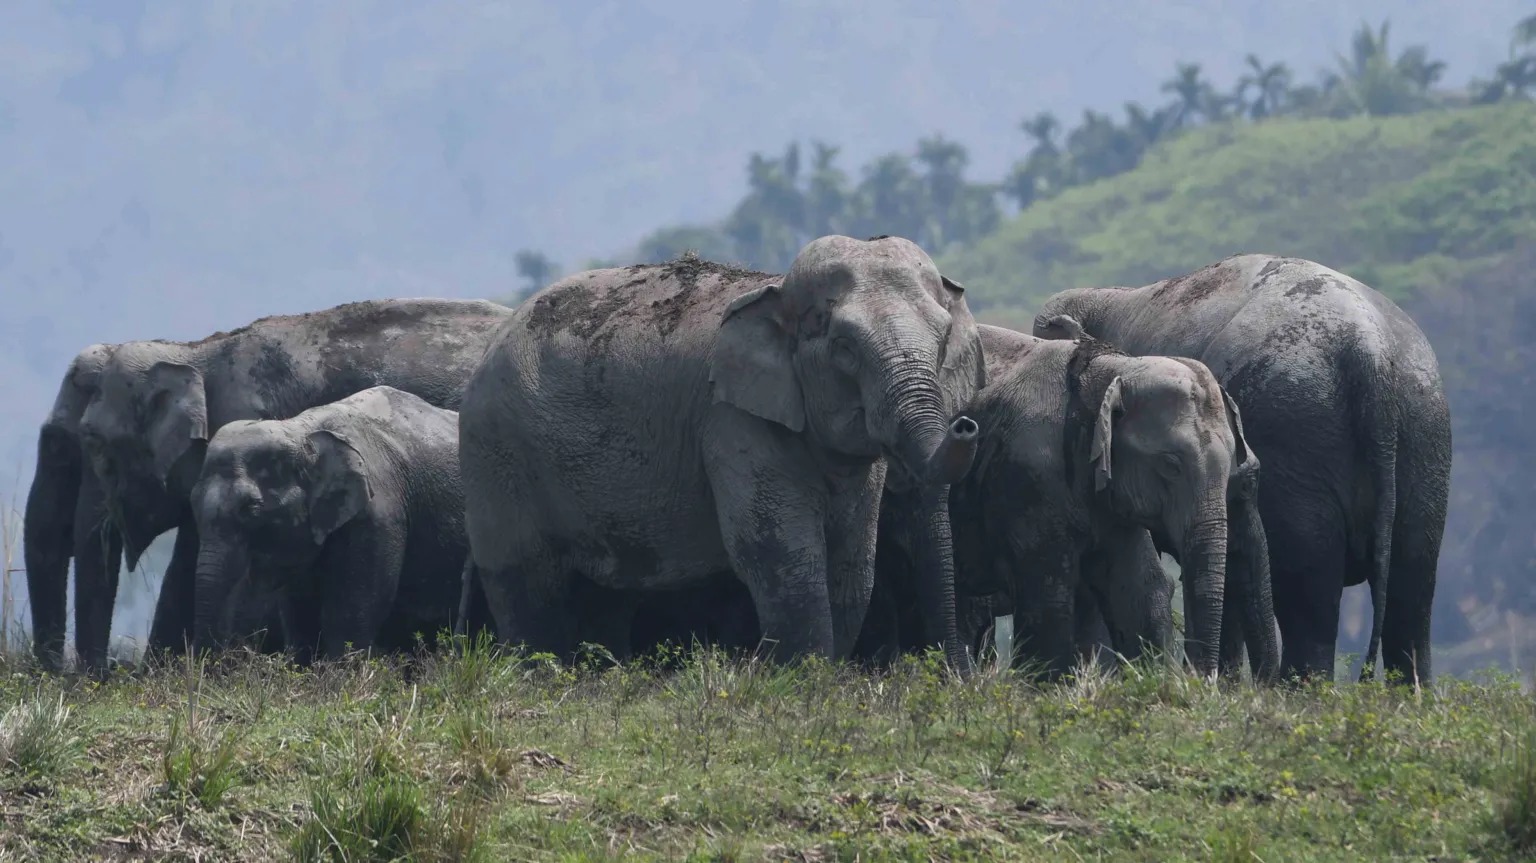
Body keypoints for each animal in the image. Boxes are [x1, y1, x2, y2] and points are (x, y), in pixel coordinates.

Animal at [190, 382, 466, 657]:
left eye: (251, 508)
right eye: (193, 500)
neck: (301, 431)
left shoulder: (378, 519)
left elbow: (348, 619)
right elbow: (300, 617)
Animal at [454, 238, 983, 669]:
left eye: (942, 341)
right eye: (844, 347)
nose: (965, 425)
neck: (775, 290)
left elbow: (852, 563)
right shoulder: (730, 420)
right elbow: (778, 553)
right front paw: (804, 682)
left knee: (606, 594)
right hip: (497, 452)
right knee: (526, 583)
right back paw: (542, 676)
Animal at [854, 322, 1271, 678]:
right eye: (1170, 465)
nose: (1201, 677)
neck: (1109, 370)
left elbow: (1137, 588)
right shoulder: (1028, 477)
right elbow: (1049, 599)